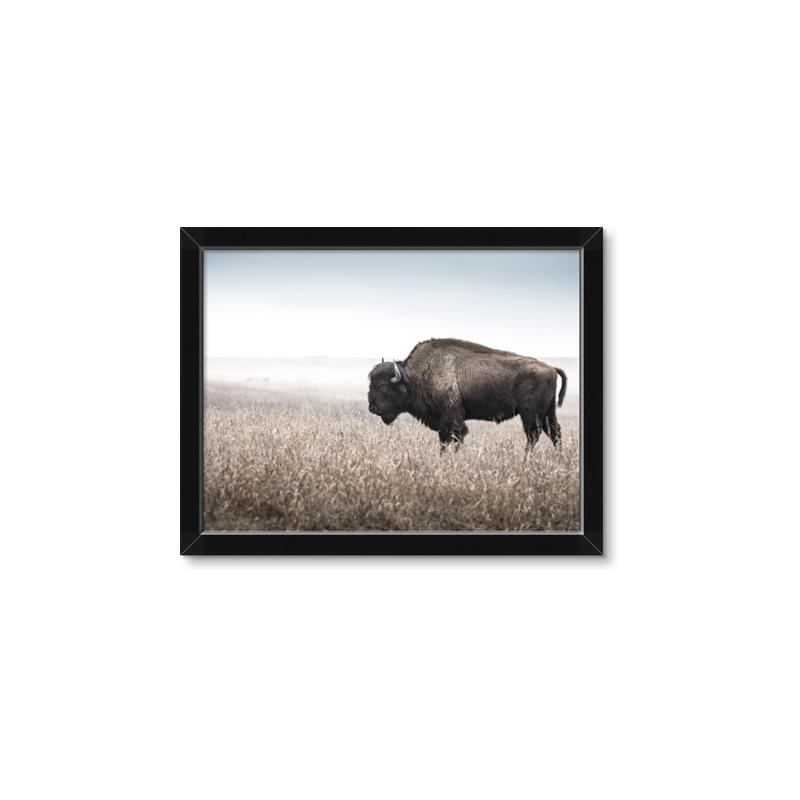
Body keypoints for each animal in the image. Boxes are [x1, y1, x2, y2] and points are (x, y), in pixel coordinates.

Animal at [368, 338, 567, 451]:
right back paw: (557, 458)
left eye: (383, 387)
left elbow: (455, 438)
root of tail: (551, 368)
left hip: (530, 414)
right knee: (554, 432)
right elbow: (444, 442)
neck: (414, 377)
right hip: (548, 412)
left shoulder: (452, 420)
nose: (372, 408)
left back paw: (525, 459)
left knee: (534, 435)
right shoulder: (442, 424)